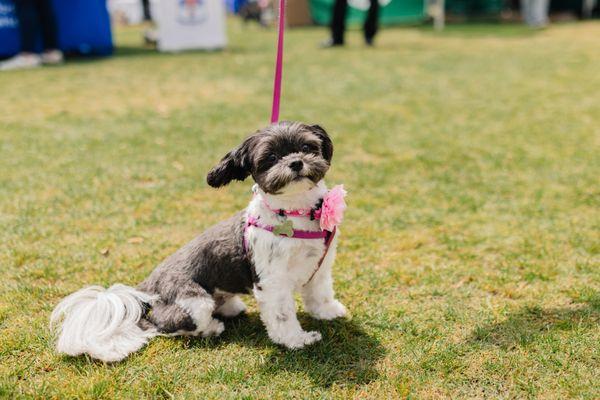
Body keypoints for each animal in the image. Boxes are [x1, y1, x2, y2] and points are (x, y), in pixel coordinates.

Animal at [54, 121, 350, 362]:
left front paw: (328, 311)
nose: (296, 162)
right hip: (194, 304)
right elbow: (282, 315)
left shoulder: (320, 266)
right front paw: (297, 340)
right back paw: (212, 327)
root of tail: (146, 289)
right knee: (168, 326)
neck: (295, 213)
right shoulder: (272, 282)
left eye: (307, 146)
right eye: (272, 157)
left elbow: (320, 293)